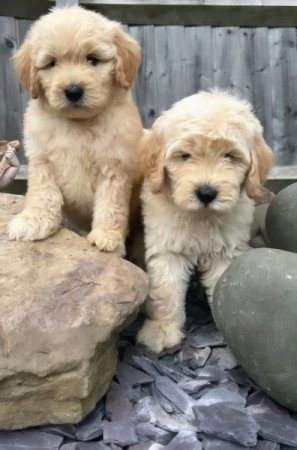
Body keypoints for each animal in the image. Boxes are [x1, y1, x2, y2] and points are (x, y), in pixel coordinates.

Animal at [8, 6, 143, 256]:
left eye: (93, 59)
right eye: (52, 63)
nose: (72, 91)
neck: (77, 124)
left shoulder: (114, 166)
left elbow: (110, 204)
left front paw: (108, 236)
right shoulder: (42, 160)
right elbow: (42, 193)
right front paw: (33, 221)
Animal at [138, 90, 272, 352]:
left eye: (230, 156)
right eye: (185, 156)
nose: (207, 193)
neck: (201, 216)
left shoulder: (226, 250)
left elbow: (222, 284)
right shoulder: (167, 248)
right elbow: (165, 291)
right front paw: (162, 329)